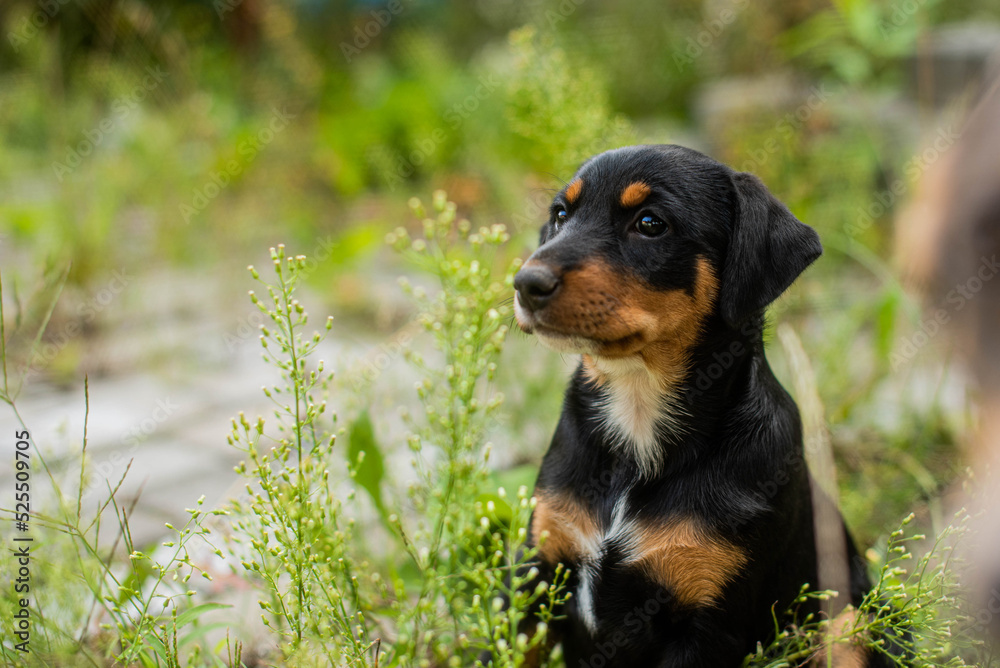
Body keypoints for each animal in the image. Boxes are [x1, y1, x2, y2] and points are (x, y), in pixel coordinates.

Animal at [516, 146, 884, 668]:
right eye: (561, 215)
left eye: (651, 223)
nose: (525, 283)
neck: (637, 413)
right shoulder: (536, 573)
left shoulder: (708, 621)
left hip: (847, 623)